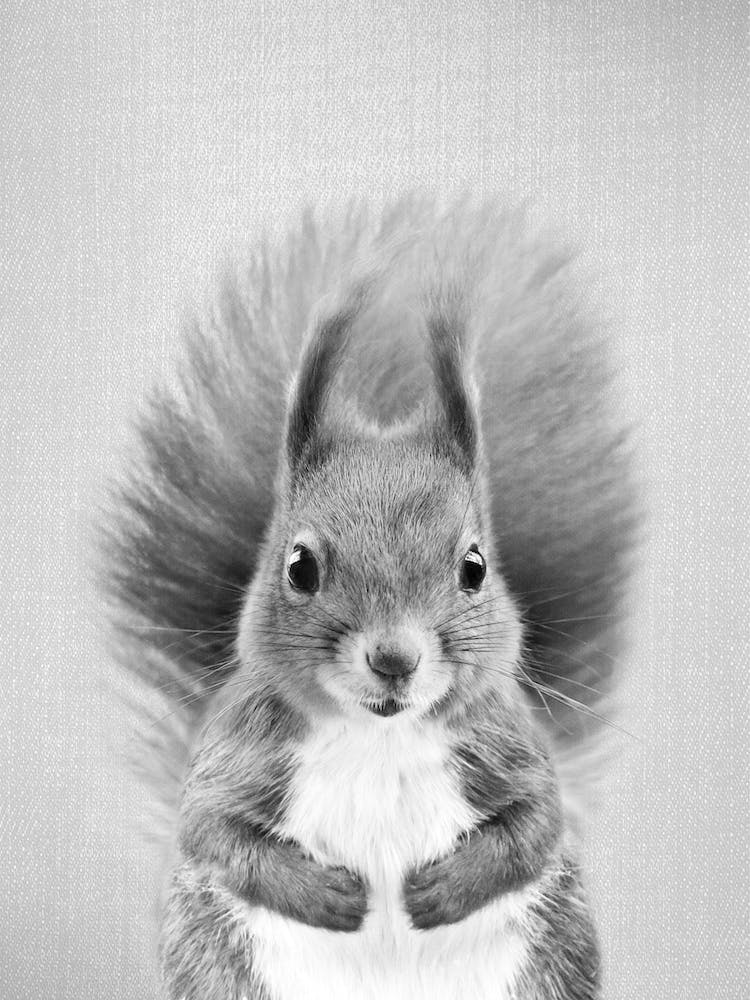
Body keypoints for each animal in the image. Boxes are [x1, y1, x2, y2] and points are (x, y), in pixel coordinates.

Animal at [103, 196, 639, 1000]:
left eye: (475, 567)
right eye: (299, 567)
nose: (394, 659)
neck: (378, 738)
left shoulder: (507, 745)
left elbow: (537, 824)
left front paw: (435, 891)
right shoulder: (241, 752)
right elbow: (211, 828)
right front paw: (331, 896)